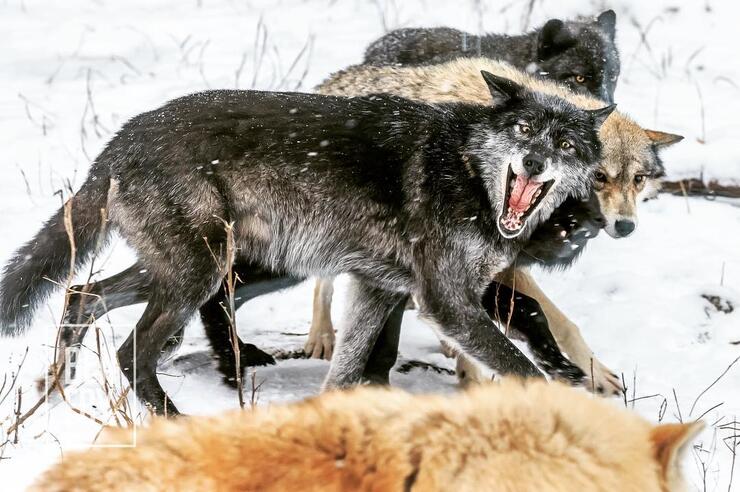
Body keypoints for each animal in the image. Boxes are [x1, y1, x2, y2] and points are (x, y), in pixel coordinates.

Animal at [0, 73, 612, 413]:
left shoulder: (378, 290)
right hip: (201, 273)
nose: (533, 162)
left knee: (82, 295)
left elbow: (349, 370)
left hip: (187, 269)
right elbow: (520, 365)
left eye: (564, 143)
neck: (464, 170)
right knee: (131, 348)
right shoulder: (445, 302)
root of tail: (121, 139)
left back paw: (55, 391)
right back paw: (173, 421)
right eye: (524, 131)